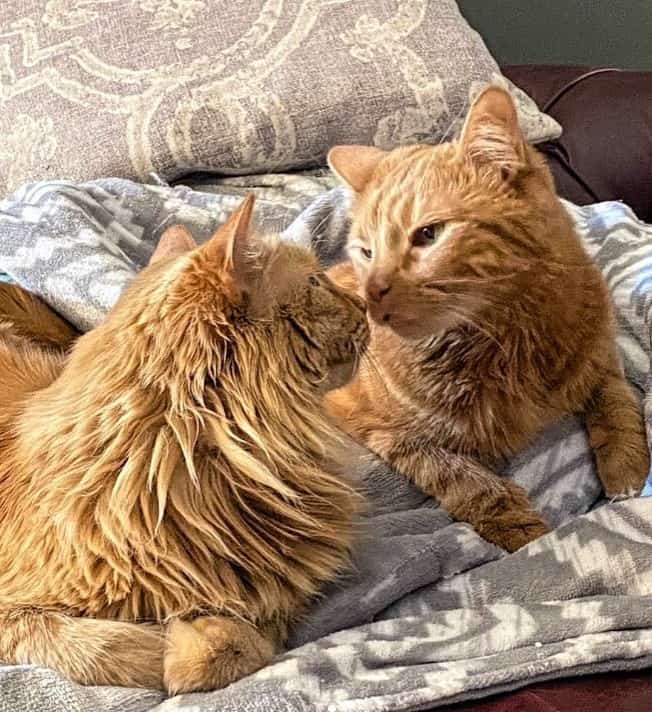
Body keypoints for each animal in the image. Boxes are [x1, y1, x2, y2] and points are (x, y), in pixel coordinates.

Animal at [0, 197, 366, 692]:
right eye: (314, 281)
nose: (364, 303)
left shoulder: (275, 600)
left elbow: (242, 645)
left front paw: (193, 640)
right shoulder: (14, 611)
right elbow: (105, 648)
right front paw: (168, 644)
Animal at [324, 86, 648, 552]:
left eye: (428, 234)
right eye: (366, 252)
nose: (371, 297)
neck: (509, 341)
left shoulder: (602, 356)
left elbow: (618, 402)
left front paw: (625, 467)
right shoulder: (381, 429)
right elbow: (462, 478)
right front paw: (524, 533)